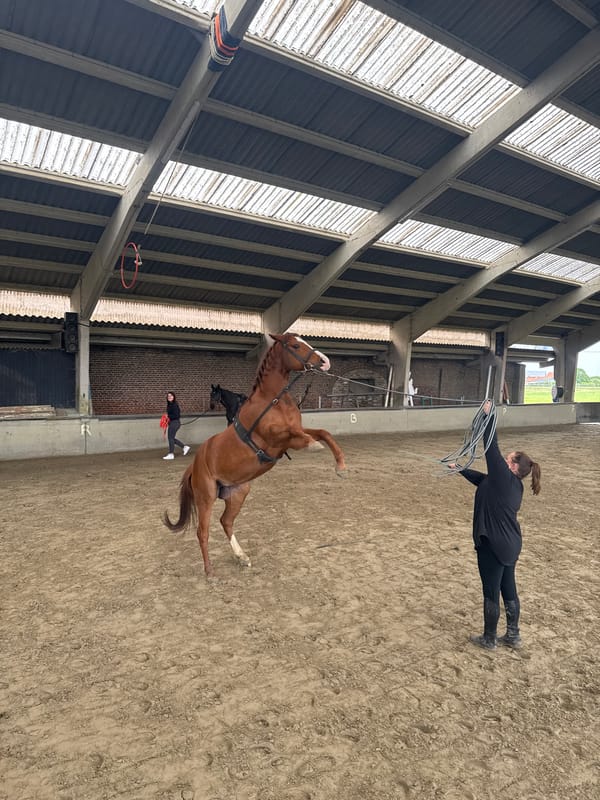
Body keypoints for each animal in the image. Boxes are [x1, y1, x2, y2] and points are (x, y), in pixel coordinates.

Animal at [163, 333, 347, 577]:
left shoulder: (293, 433)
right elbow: (301, 436)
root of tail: (194, 467)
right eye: (295, 345)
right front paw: (314, 446)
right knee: (202, 532)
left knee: (226, 521)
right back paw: (209, 570)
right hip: (206, 498)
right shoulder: (277, 438)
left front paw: (341, 466)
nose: (324, 361)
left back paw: (242, 557)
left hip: (238, 493)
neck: (273, 402)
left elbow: (323, 432)